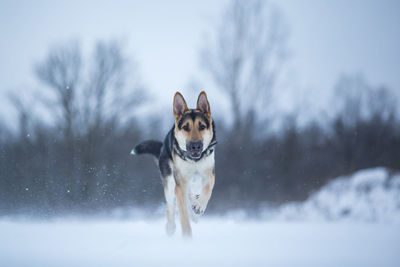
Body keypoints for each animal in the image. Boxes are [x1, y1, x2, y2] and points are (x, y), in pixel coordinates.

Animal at [132, 91, 217, 238]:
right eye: (186, 127)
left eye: (201, 126)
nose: (195, 146)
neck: (194, 161)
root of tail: (162, 148)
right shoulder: (180, 185)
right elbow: (183, 215)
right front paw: (187, 238)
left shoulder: (209, 174)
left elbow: (207, 188)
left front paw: (199, 206)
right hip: (170, 183)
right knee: (170, 207)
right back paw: (171, 227)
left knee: (191, 195)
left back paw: (195, 210)